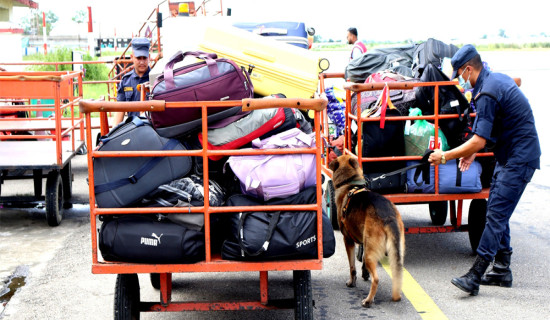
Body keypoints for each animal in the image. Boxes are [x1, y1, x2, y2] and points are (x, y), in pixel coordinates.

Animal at [330, 155, 408, 308]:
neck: (350, 182)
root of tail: (388, 216)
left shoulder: (348, 240)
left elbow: (352, 267)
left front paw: (352, 282)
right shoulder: (364, 242)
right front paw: (364, 274)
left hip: (370, 254)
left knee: (376, 279)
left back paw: (368, 300)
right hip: (396, 252)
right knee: (397, 273)